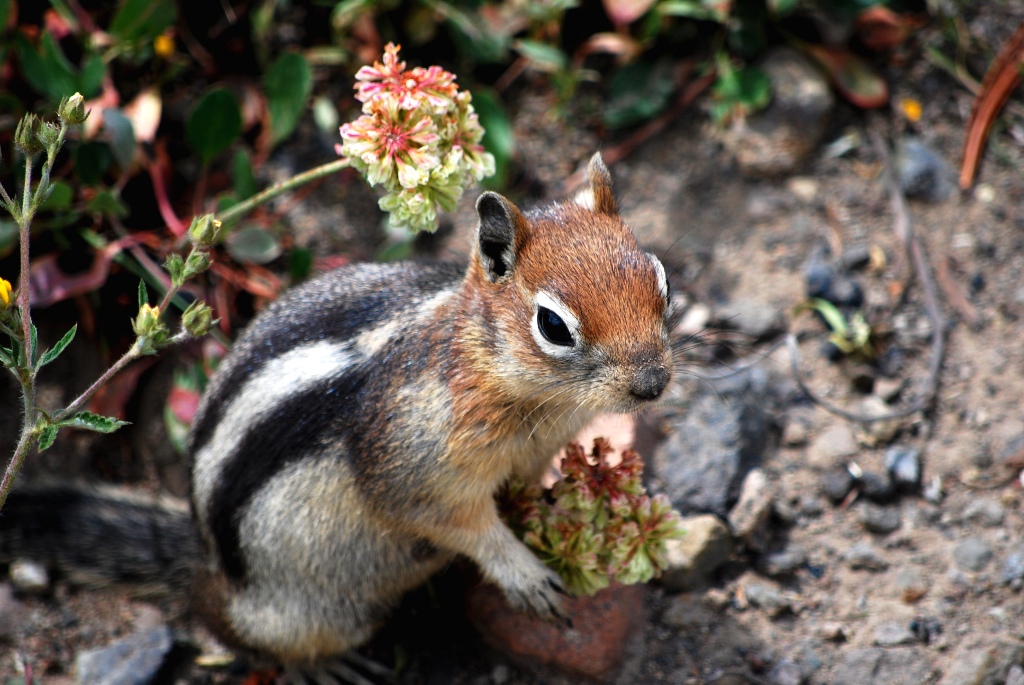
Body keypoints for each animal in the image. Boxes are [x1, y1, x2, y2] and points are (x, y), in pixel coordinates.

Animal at [0, 153, 673, 682]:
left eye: (660, 279)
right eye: (553, 326)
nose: (653, 383)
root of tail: (207, 566)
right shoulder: (415, 461)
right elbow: (457, 522)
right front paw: (524, 573)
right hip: (306, 611)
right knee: (231, 629)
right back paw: (319, 664)